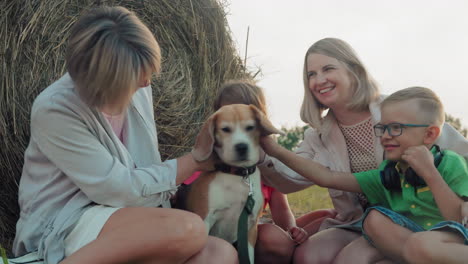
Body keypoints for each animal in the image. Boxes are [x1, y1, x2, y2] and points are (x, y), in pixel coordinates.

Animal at [176, 104, 282, 262]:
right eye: (225, 129)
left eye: (250, 127)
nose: (241, 147)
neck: (238, 174)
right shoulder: (205, 220)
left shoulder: (250, 228)